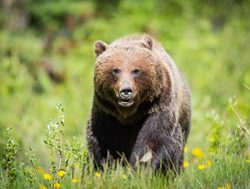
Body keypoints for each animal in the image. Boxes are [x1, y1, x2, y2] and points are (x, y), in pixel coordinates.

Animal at [86, 34, 191, 173]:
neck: (128, 114)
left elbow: (156, 140)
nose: (126, 91)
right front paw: (106, 167)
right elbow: (103, 141)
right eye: (116, 70)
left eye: (136, 70)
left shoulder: (158, 105)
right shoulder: (106, 111)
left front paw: (143, 168)